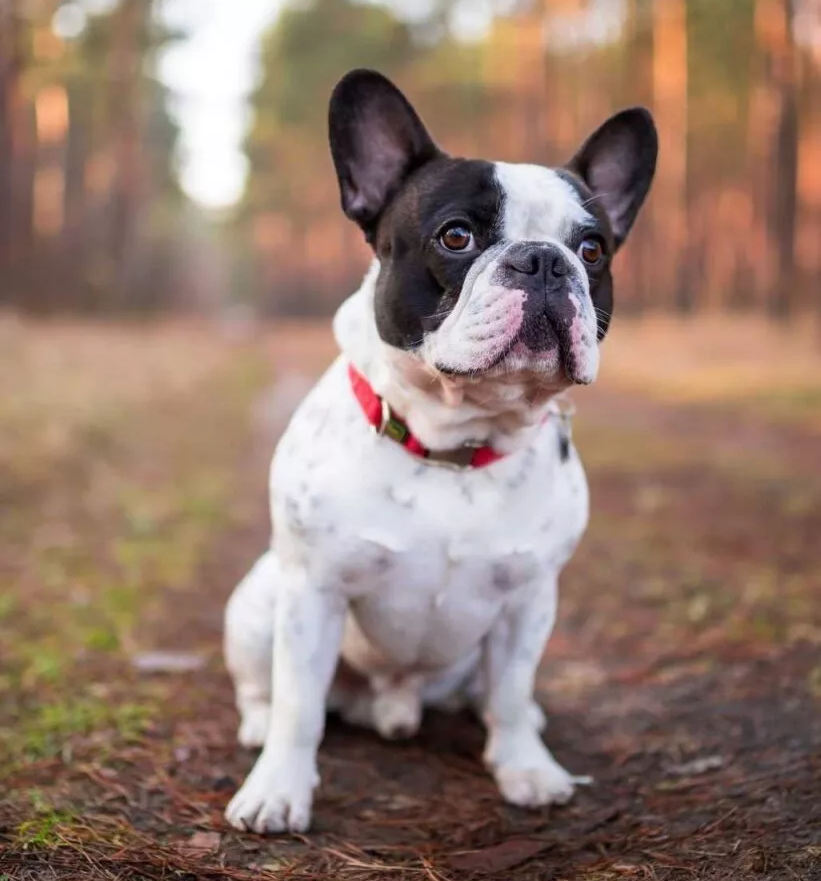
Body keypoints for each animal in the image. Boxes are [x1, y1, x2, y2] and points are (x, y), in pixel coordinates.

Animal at [221, 69, 656, 832]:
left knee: (495, 694)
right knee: (265, 688)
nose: (544, 261)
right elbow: (300, 704)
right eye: (456, 236)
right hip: (256, 601)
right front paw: (277, 789)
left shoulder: (528, 601)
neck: (456, 442)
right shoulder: (313, 591)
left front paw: (525, 768)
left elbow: (510, 689)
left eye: (592, 249)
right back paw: (257, 725)